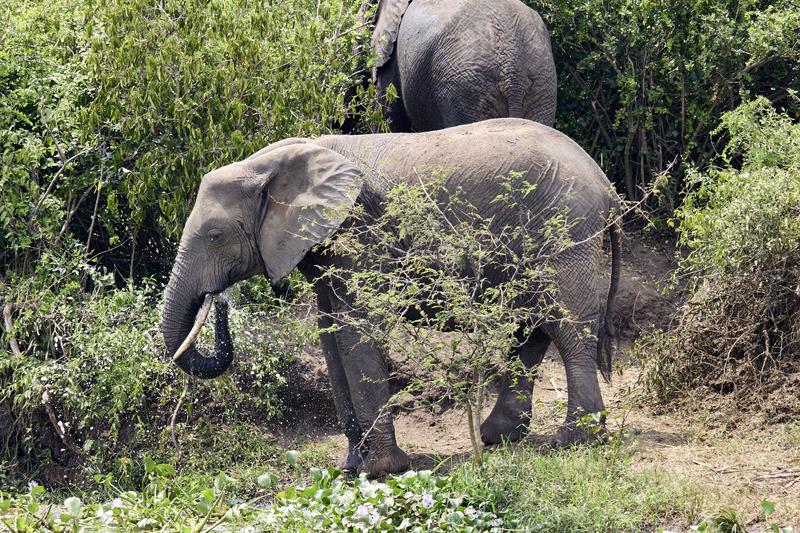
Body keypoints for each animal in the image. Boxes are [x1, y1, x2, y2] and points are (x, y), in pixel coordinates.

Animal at [162, 118, 620, 476]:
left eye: (215, 236)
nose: (219, 300)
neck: (268, 163)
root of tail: (605, 183)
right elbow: (331, 334)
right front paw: (350, 467)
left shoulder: (358, 228)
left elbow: (355, 332)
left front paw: (382, 470)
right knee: (534, 325)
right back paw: (499, 437)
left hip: (567, 232)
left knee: (567, 326)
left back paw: (574, 440)